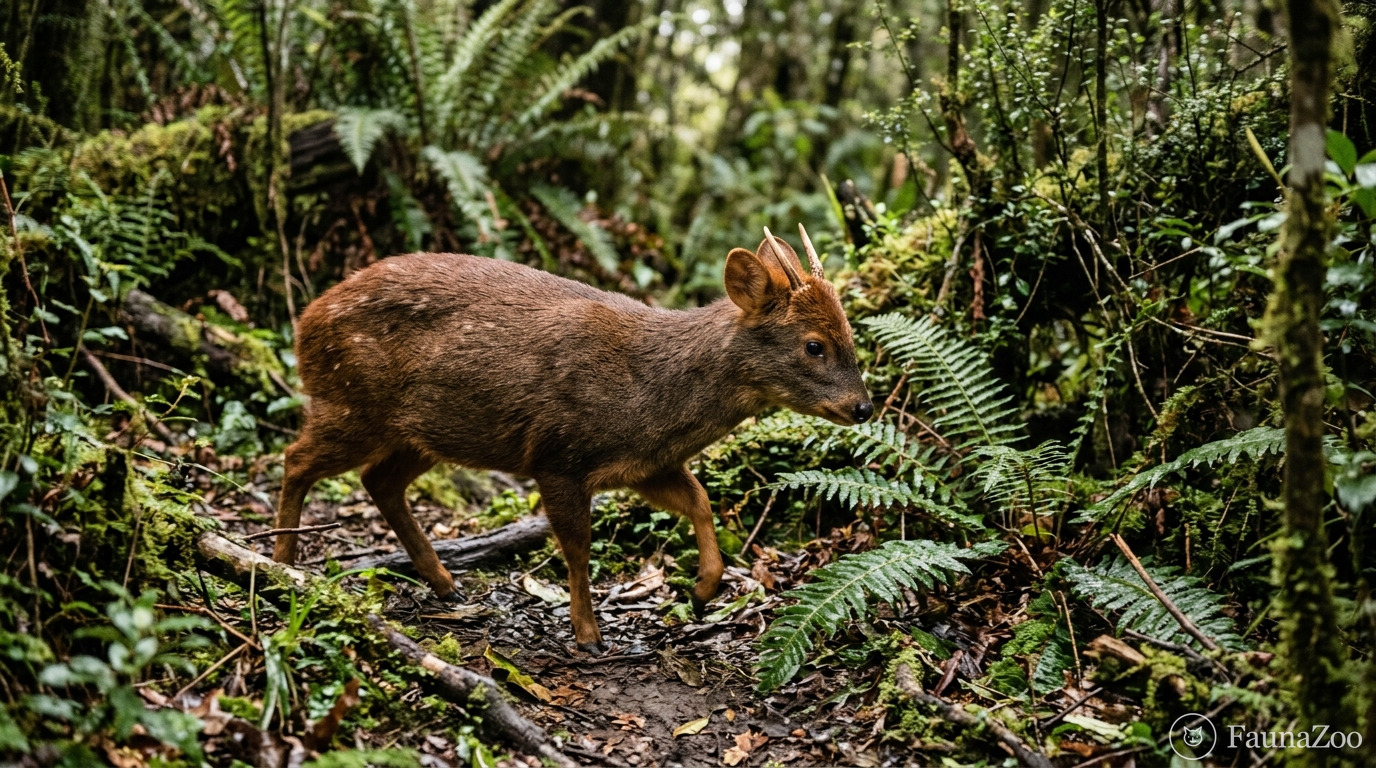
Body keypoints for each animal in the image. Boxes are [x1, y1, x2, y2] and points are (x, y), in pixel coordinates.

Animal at [270, 225, 872, 652]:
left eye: (849, 332)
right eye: (814, 345)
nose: (863, 406)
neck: (652, 392)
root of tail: (304, 320)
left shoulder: (644, 465)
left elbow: (700, 500)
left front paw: (702, 590)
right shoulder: (559, 456)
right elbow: (579, 548)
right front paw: (588, 635)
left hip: (423, 432)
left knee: (379, 480)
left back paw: (444, 583)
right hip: (353, 404)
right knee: (295, 458)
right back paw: (282, 562)